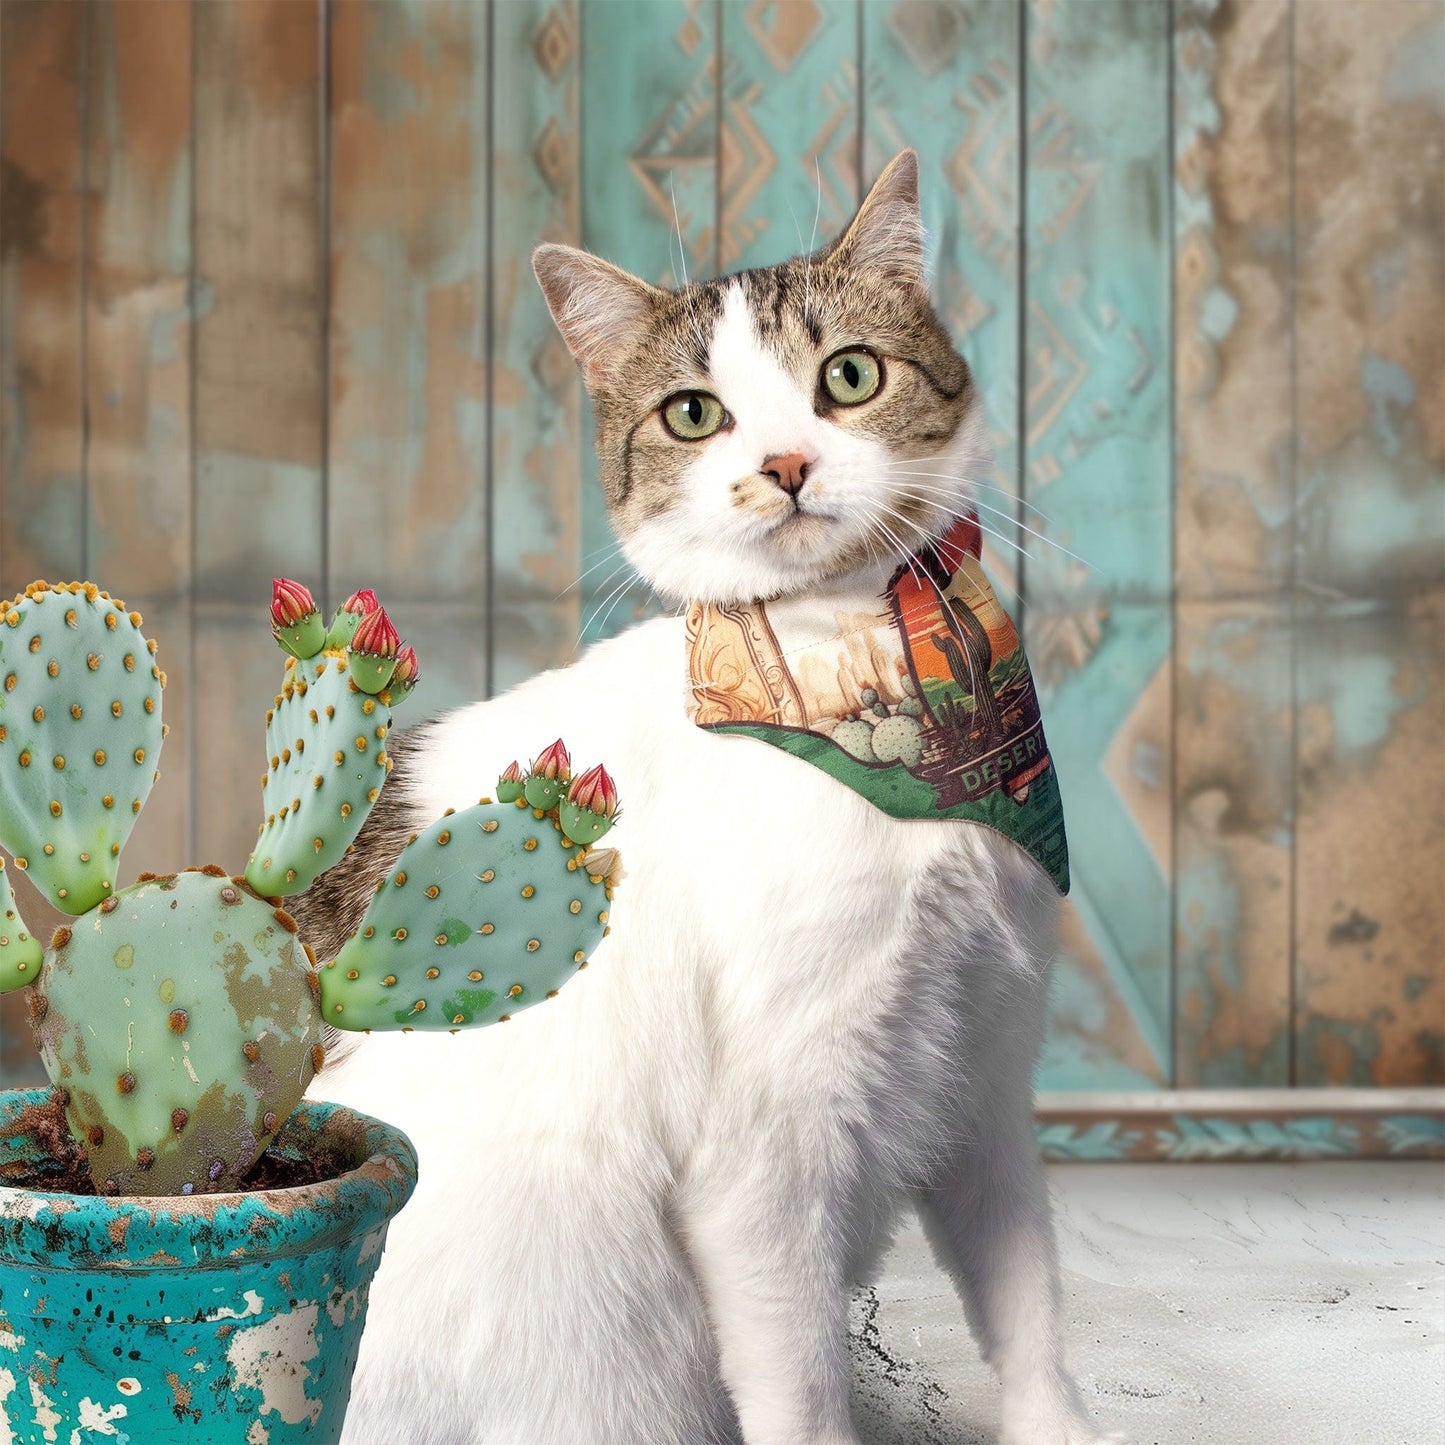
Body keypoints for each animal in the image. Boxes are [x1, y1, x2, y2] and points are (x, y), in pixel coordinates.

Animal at [293, 149, 1127, 1445]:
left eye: (848, 376)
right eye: (695, 413)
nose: (784, 465)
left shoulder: (985, 1069)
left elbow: (1025, 1293)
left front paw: (1054, 1422)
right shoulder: (763, 1142)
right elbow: (801, 1384)